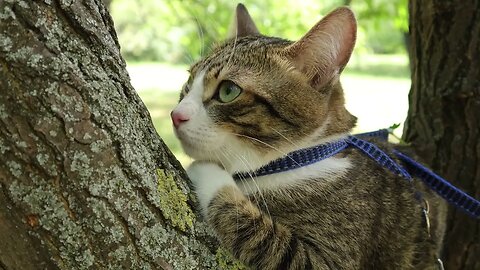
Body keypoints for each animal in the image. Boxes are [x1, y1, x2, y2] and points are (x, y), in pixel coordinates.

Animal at [170, 4, 446, 270]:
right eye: (188, 82)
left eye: (228, 91)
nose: (175, 115)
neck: (300, 158)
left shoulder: (332, 253)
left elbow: (263, 236)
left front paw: (207, 170)